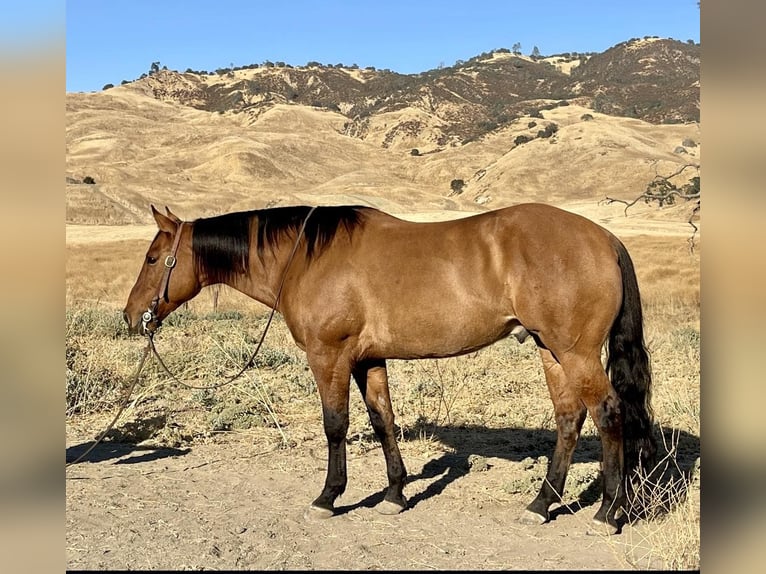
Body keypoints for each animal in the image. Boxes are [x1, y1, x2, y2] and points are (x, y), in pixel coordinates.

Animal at [123, 204, 656, 536]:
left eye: (152, 258)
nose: (131, 317)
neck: (305, 257)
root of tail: (604, 237)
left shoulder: (329, 357)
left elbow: (335, 426)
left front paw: (328, 497)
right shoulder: (368, 360)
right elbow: (384, 421)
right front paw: (396, 493)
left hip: (576, 353)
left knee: (608, 414)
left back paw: (609, 512)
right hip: (552, 351)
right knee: (569, 418)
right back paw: (541, 505)